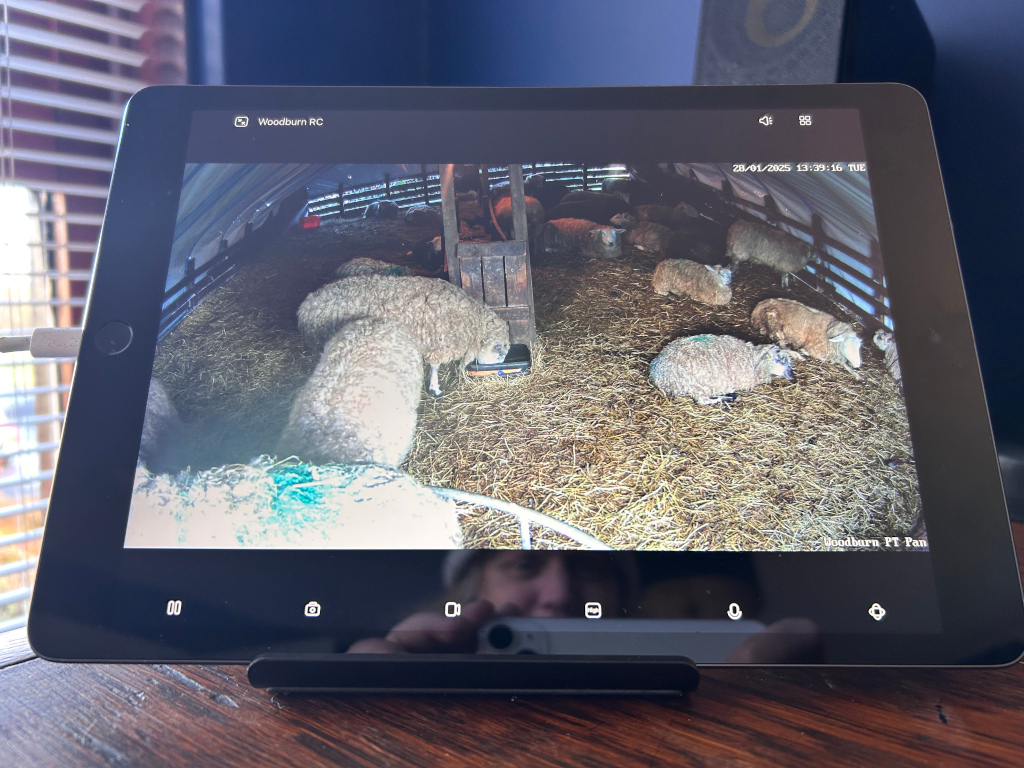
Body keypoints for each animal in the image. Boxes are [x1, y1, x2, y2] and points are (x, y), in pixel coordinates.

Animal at [297, 275, 510, 397]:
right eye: (500, 351)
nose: (500, 366)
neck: (470, 321)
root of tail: (307, 305)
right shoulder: (439, 343)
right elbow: (435, 367)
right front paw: (435, 388)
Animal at [650, 334, 793, 405]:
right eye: (780, 359)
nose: (792, 375)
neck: (752, 359)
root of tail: (657, 373)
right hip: (698, 386)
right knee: (703, 401)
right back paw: (730, 397)